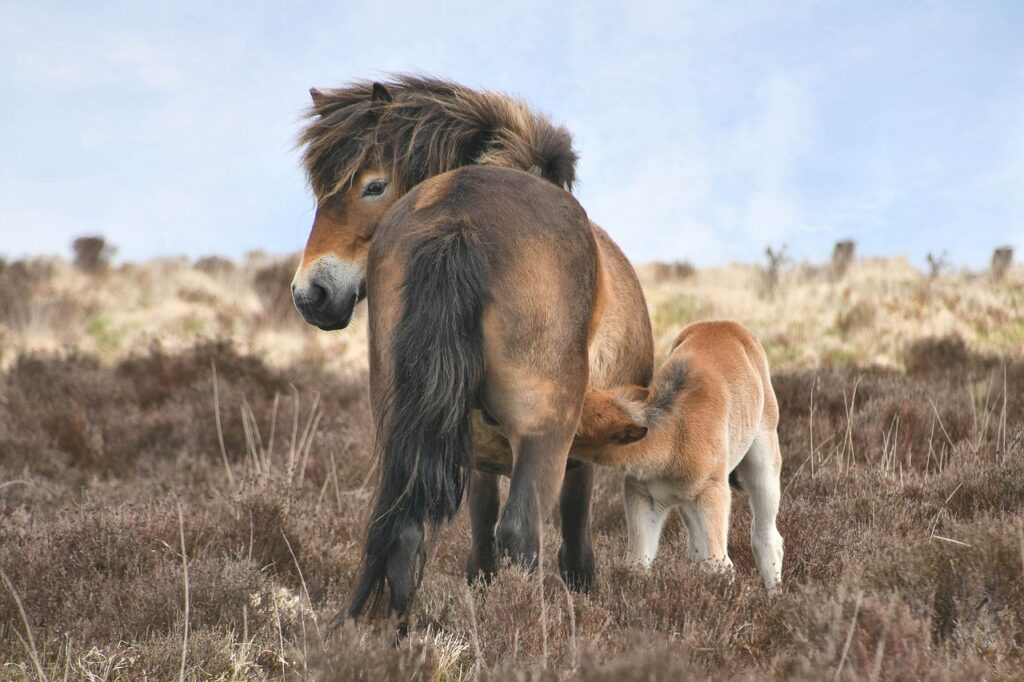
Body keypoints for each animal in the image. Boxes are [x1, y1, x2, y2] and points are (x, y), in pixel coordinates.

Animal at [288, 76, 653, 619]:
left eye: (373, 185)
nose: (310, 294)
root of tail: (457, 217)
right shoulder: (577, 452)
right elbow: (570, 541)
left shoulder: (476, 450)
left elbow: (478, 540)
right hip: (545, 431)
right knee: (522, 534)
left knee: (404, 531)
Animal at [573, 320, 785, 592]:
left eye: (576, 430)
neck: (674, 434)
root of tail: (725, 324)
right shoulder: (644, 497)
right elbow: (637, 564)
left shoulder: (713, 492)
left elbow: (720, 564)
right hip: (688, 505)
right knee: (696, 547)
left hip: (764, 460)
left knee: (766, 537)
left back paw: (774, 595)